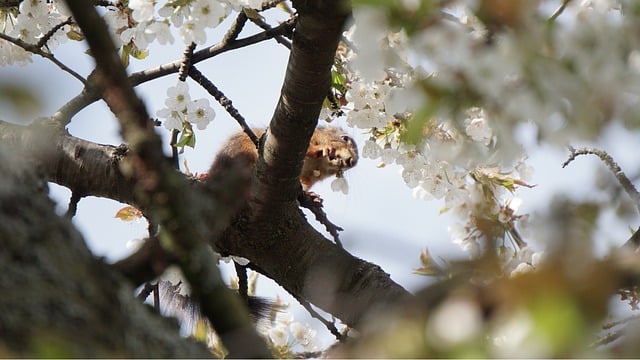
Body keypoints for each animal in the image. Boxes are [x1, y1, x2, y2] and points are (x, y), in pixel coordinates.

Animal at [210, 127, 360, 191]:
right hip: (245, 148)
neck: (316, 164)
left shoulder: (309, 178)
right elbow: (309, 147)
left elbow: (305, 184)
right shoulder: (305, 138)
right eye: (345, 138)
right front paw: (322, 149)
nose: (352, 162)